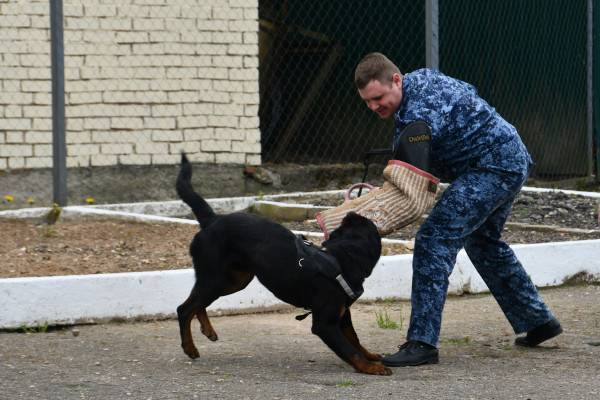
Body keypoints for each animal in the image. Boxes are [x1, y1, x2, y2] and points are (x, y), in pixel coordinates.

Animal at [175, 153, 390, 376]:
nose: (352, 213)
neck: (341, 258)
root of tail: (212, 220)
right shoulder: (325, 324)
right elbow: (349, 350)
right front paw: (371, 367)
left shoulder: (343, 315)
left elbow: (355, 340)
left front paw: (370, 356)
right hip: (216, 279)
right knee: (184, 308)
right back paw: (190, 348)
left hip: (234, 280)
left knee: (197, 302)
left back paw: (207, 330)